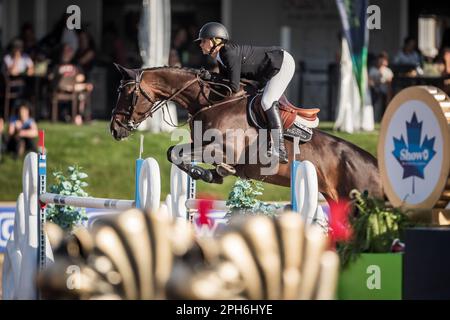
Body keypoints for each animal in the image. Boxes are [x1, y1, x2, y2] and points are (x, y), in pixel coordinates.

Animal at [110, 65, 382, 204]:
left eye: (127, 94)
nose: (115, 128)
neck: (213, 102)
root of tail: (375, 166)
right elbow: (175, 152)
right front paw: (211, 173)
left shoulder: (223, 150)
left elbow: (174, 152)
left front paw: (207, 173)